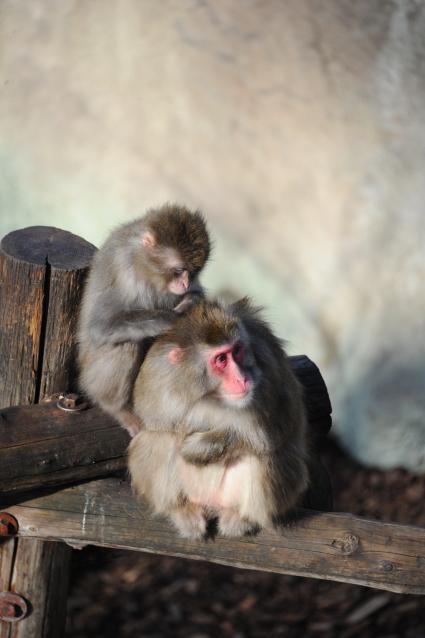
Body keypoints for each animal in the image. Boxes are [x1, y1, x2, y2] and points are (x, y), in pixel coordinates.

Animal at [77, 205, 210, 440]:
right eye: (179, 270)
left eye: (193, 272)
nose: (184, 283)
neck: (144, 265)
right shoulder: (125, 272)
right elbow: (100, 326)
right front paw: (171, 319)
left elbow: (197, 295)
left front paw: (190, 302)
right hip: (90, 373)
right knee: (126, 345)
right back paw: (117, 408)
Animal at [126, 300, 308, 540]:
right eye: (221, 359)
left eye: (237, 351)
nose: (241, 378)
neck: (211, 394)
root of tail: (210, 506)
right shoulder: (159, 374)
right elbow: (152, 421)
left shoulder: (266, 354)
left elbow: (275, 426)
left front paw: (197, 447)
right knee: (159, 439)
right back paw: (181, 510)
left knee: (261, 452)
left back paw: (243, 517)